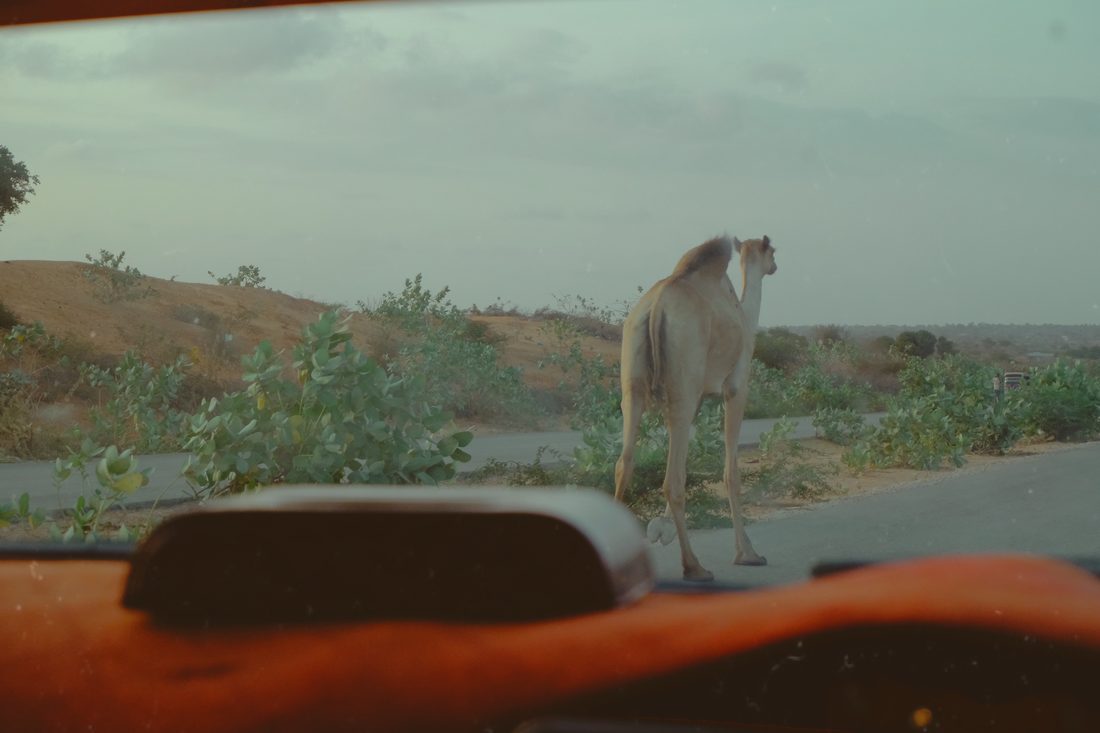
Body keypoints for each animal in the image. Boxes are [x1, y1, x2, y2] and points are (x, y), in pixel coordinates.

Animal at [615, 235, 777, 581]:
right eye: (773, 251)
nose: (775, 266)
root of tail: (657, 306)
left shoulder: (701, 396)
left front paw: (662, 530)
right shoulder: (735, 387)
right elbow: (731, 473)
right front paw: (748, 553)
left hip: (634, 377)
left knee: (625, 461)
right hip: (683, 377)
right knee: (672, 480)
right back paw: (694, 566)